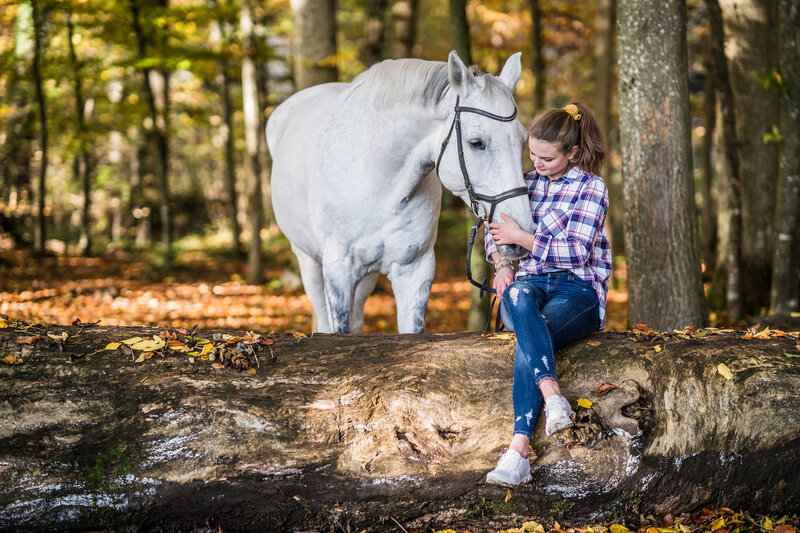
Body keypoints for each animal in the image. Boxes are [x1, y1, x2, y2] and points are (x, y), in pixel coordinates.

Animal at [266, 51, 536, 332]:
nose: (521, 234)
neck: (379, 182)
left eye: (523, 140)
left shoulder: (415, 270)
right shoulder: (337, 270)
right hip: (309, 262)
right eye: (476, 143)